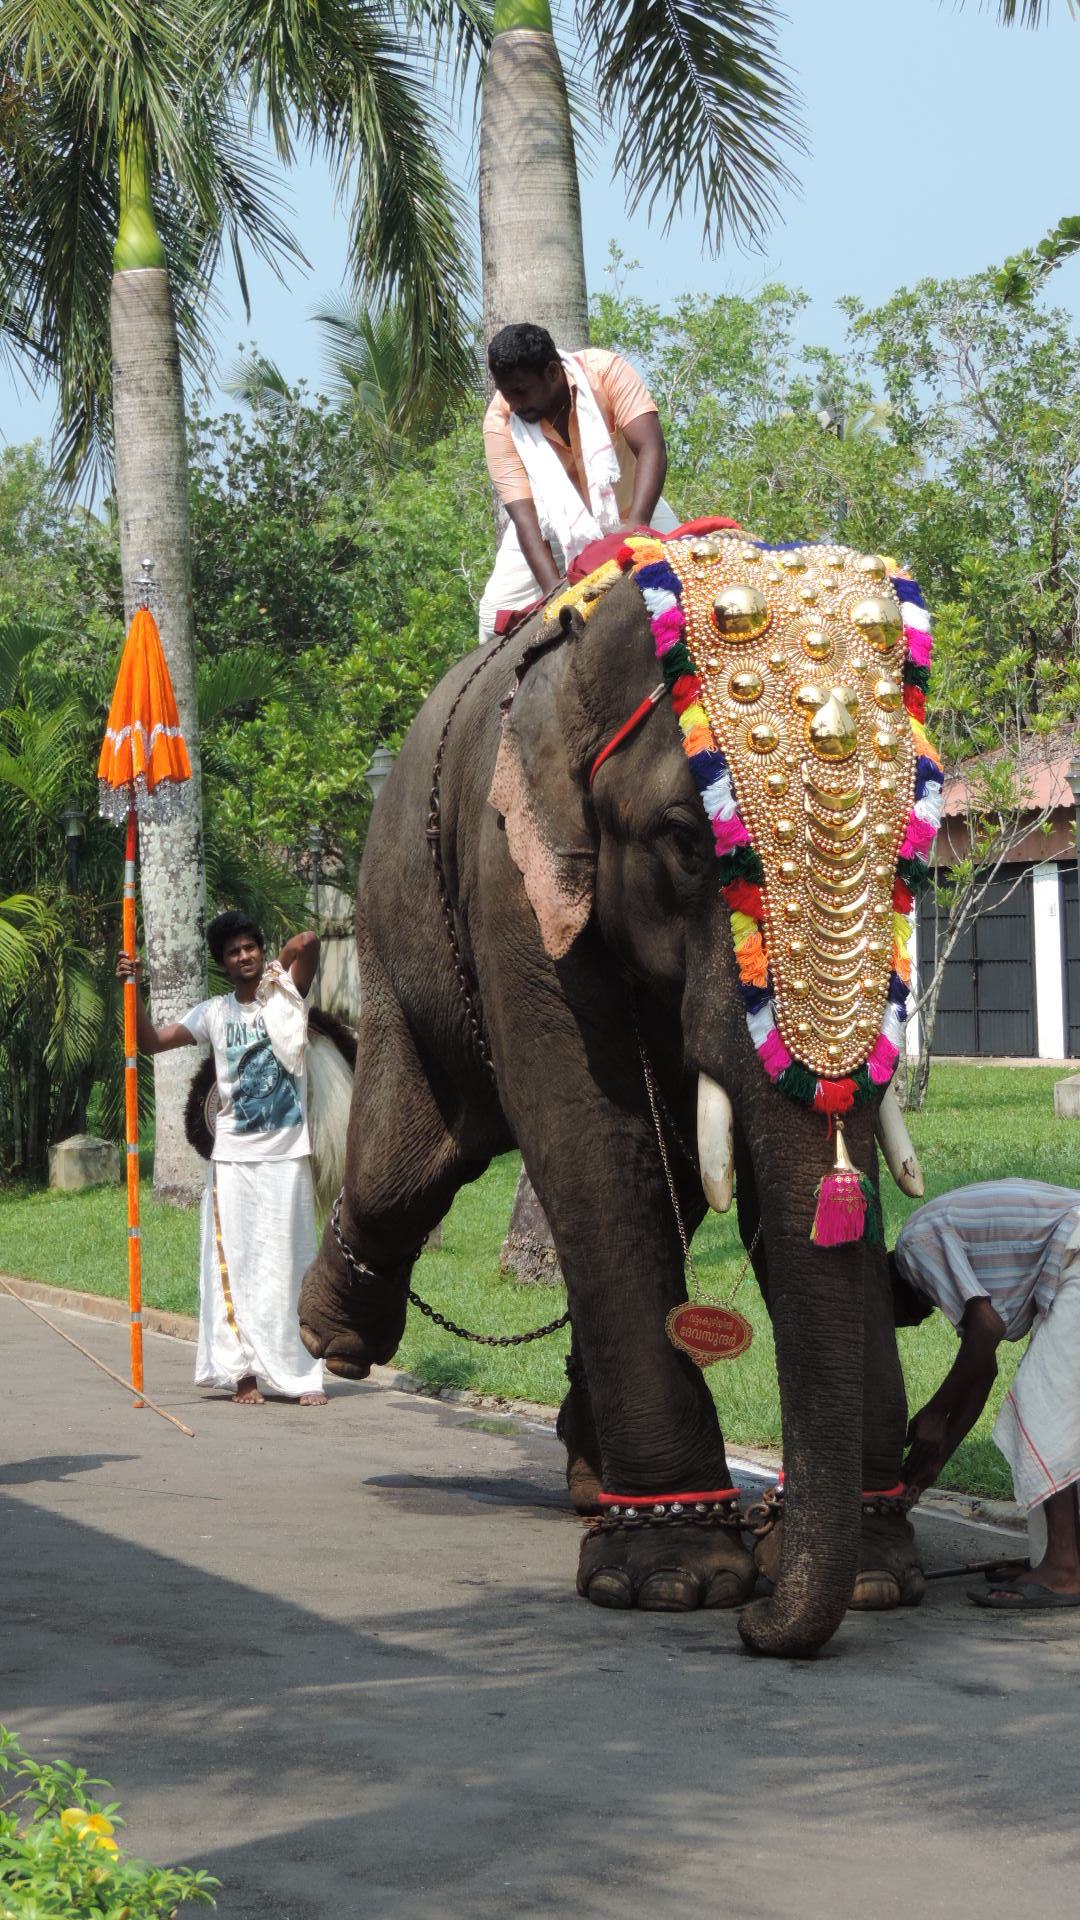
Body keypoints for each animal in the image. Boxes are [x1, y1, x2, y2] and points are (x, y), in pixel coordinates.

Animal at [297, 518, 937, 1658]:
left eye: (918, 856)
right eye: (686, 841)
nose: (762, 1622)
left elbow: (768, 1181)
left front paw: (874, 1578)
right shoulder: (513, 877)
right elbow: (595, 1142)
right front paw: (674, 1580)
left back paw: (595, 1481)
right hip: (394, 917)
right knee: (407, 1163)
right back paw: (336, 1340)